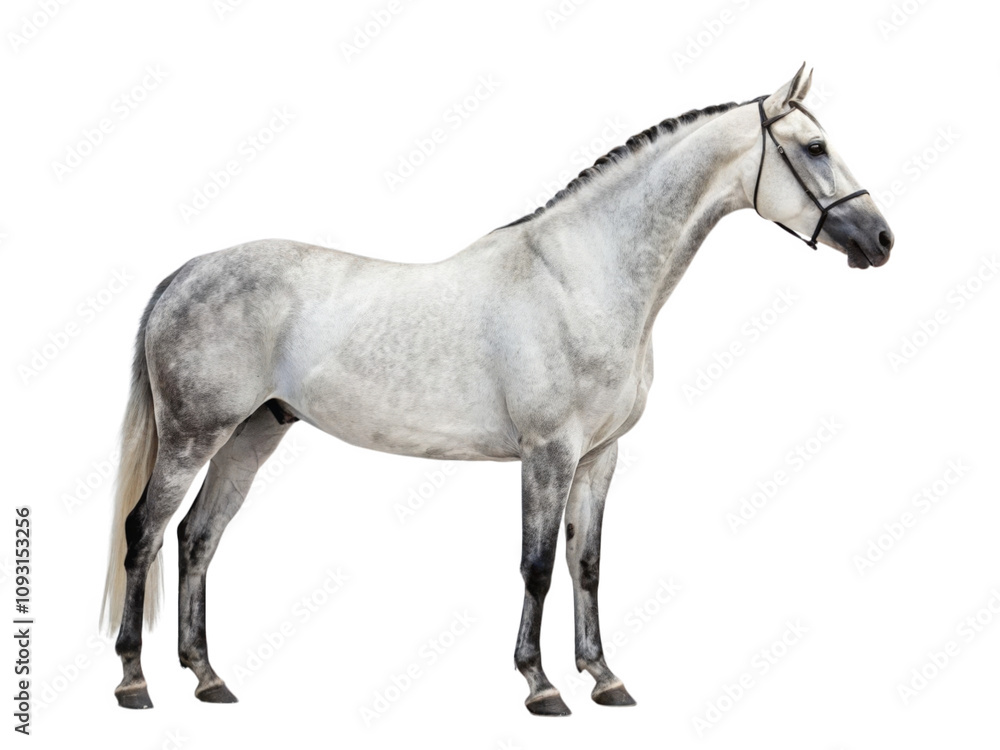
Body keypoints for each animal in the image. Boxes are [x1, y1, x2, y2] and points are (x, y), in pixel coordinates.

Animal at [101, 63, 894, 715]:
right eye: (815, 147)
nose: (882, 240)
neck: (582, 278)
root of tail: (187, 271)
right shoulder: (548, 453)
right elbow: (536, 566)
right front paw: (541, 686)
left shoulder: (599, 457)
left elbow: (587, 564)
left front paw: (605, 678)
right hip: (193, 436)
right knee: (145, 533)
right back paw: (134, 682)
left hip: (251, 434)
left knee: (198, 538)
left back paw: (209, 678)